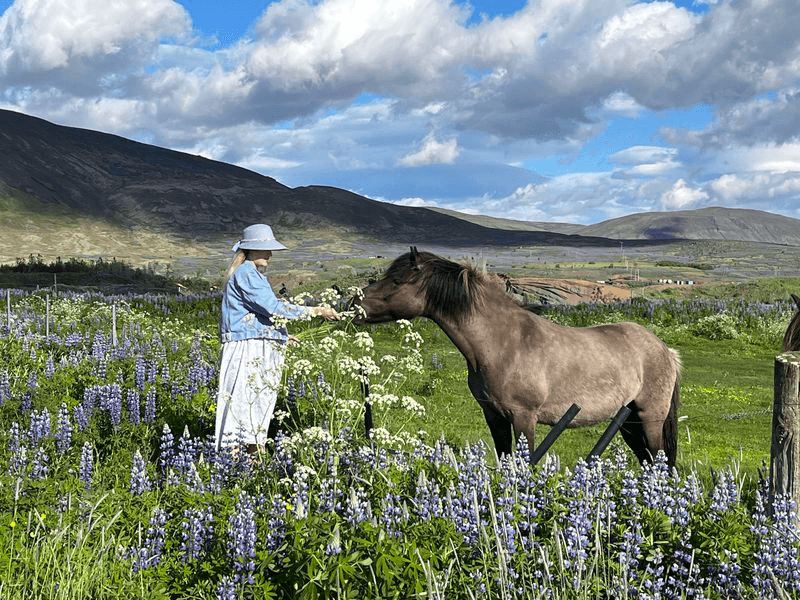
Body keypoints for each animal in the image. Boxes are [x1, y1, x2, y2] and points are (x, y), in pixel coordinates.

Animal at [354, 248, 681, 468]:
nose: (354, 303)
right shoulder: (494, 416)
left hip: (649, 418)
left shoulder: (524, 418)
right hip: (628, 422)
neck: (503, 344)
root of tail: (665, 350)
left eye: (398, 281)